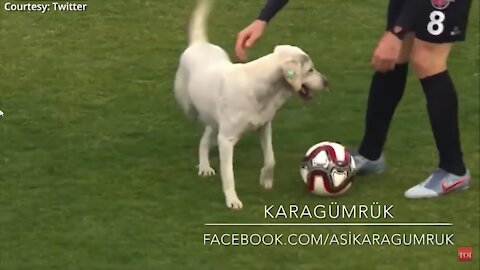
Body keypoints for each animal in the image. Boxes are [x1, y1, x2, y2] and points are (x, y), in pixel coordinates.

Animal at [174, 0, 328, 209]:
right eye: (310, 70)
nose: (326, 82)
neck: (260, 89)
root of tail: (199, 43)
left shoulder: (264, 126)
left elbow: (271, 159)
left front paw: (266, 180)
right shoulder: (227, 139)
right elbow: (228, 175)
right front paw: (232, 200)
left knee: (208, 133)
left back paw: (205, 162)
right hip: (189, 106)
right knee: (203, 129)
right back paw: (205, 164)